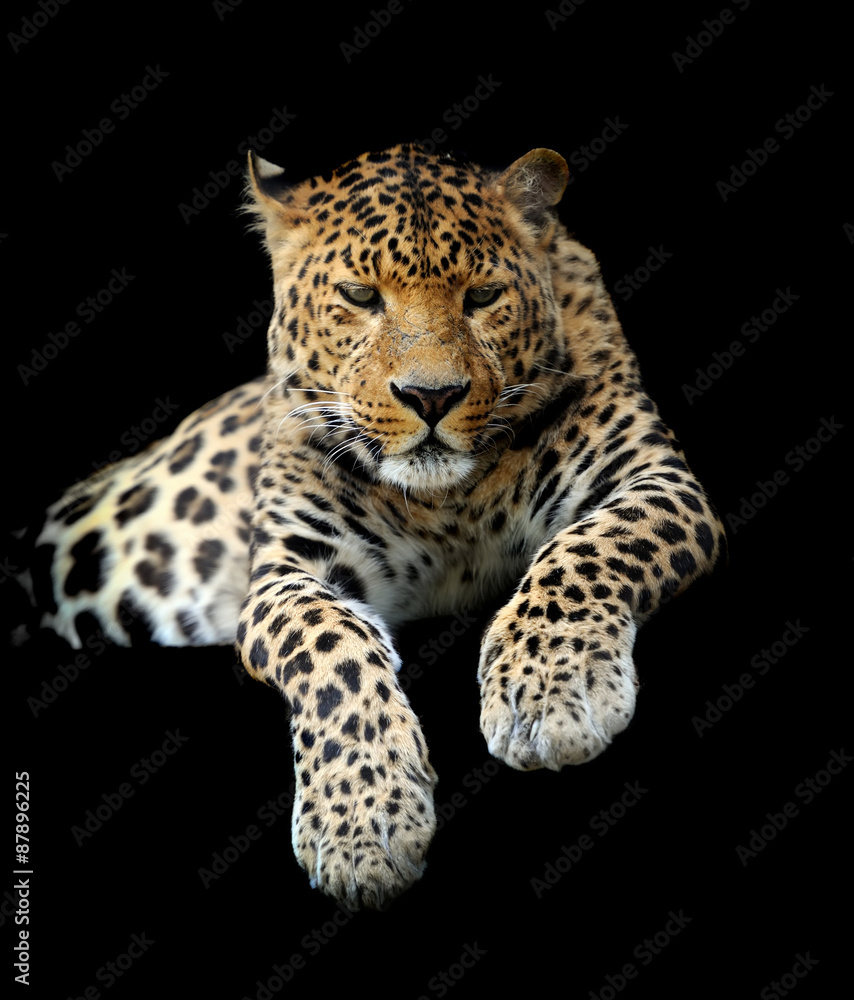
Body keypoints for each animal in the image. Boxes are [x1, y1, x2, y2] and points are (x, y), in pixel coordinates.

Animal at [29, 142, 726, 910]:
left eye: (483, 295)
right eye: (361, 296)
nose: (432, 396)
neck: (449, 505)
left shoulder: (658, 479)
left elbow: (587, 551)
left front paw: (548, 694)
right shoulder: (286, 573)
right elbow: (328, 644)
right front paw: (362, 825)